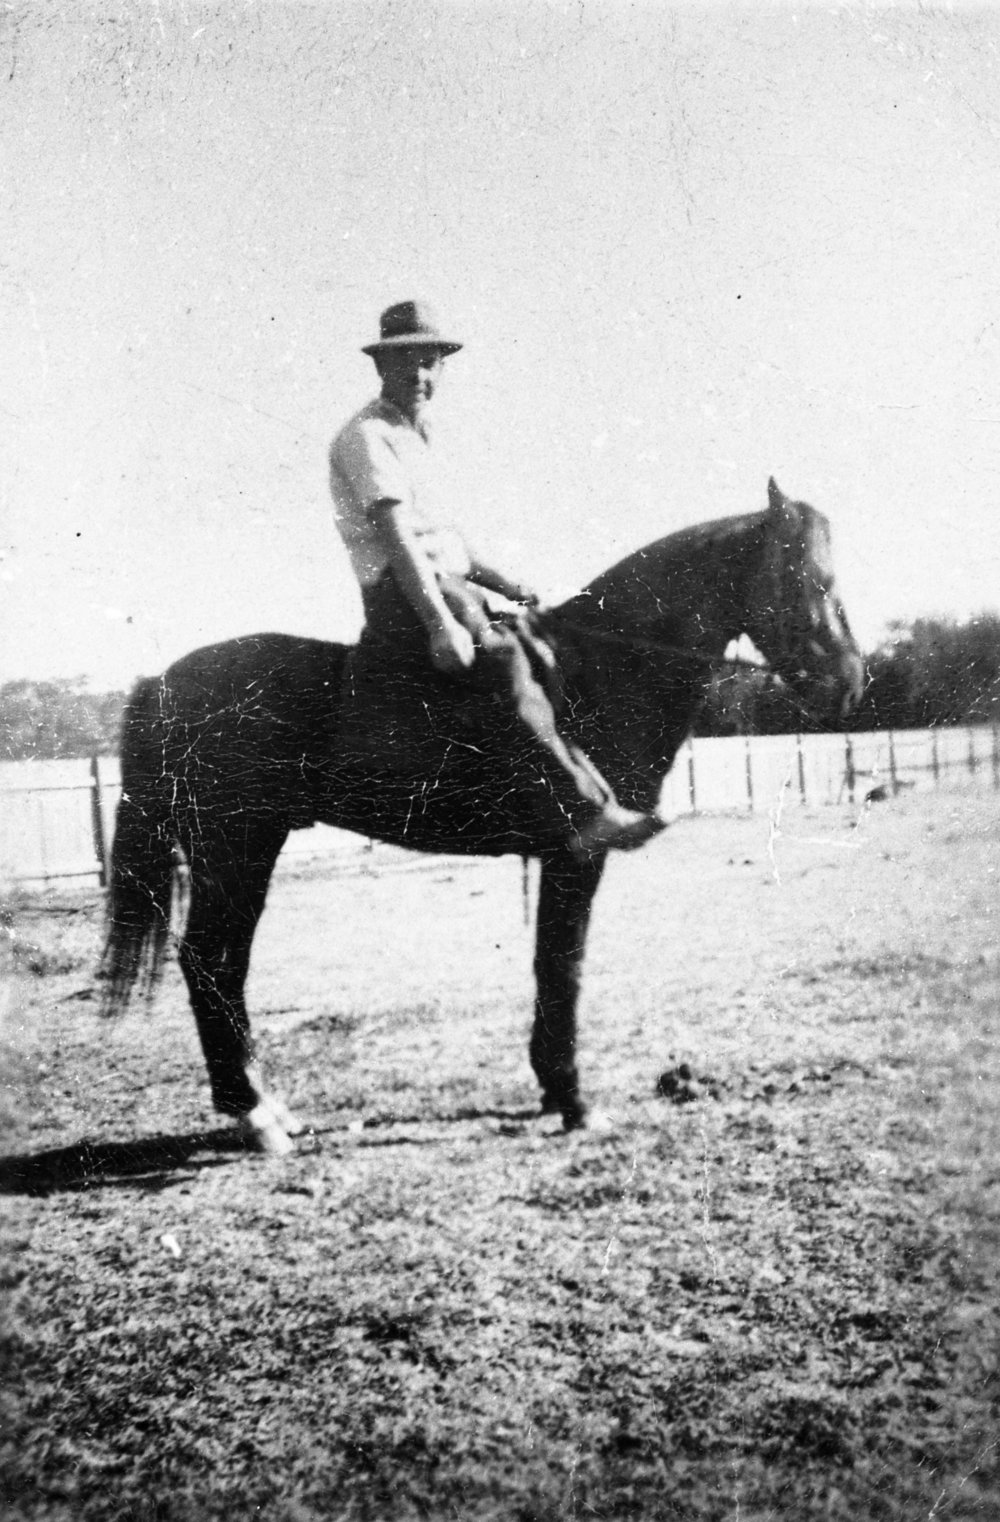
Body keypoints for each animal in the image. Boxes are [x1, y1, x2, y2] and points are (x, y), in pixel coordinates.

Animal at [102, 478, 863, 1153]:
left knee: (222, 966)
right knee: (209, 961)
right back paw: (254, 1115)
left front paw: (555, 1089)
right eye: (807, 578)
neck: (597, 669)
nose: (850, 683)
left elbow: (550, 964)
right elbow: (562, 966)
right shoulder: (577, 854)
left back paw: (267, 1108)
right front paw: (573, 1098)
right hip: (235, 848)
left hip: (247, 850)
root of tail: (161, 684)